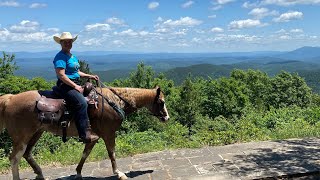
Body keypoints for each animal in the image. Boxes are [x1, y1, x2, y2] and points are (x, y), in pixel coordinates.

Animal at [0, 85, 170, 179]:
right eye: (161, 102)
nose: (167, 117)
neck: (114, 101)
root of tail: (10, 99)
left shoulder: (93, 137)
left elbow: (85, 154)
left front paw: (78, 173)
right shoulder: (109, 134)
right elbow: (112, 153)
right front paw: (118, 173)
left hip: (36, 133)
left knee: (27, 154)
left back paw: (40, 174)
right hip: (22, 137)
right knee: (15, 158)